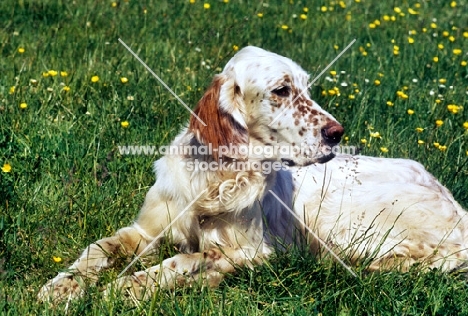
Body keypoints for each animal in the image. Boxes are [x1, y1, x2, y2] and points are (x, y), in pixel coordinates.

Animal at [38, 46, 466, 302]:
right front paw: (62, 286)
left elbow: (186, 259)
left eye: (307, 88)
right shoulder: (145, 230)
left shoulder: (256, 250)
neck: (219, 179)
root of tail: (452, 201)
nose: (337, 133)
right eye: (281, 90)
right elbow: (98, 249)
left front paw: (128, 287)